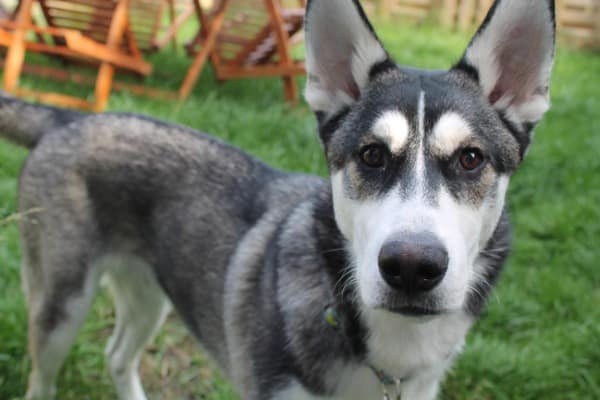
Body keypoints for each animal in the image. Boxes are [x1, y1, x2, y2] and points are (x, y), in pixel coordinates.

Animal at [0, 1, 556, 398]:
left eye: (471, 158)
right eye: (372, 155)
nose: (411, 266)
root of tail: (68, 118)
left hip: (149, 295)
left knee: (117, 355)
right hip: (61, 306)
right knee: (43, 378)